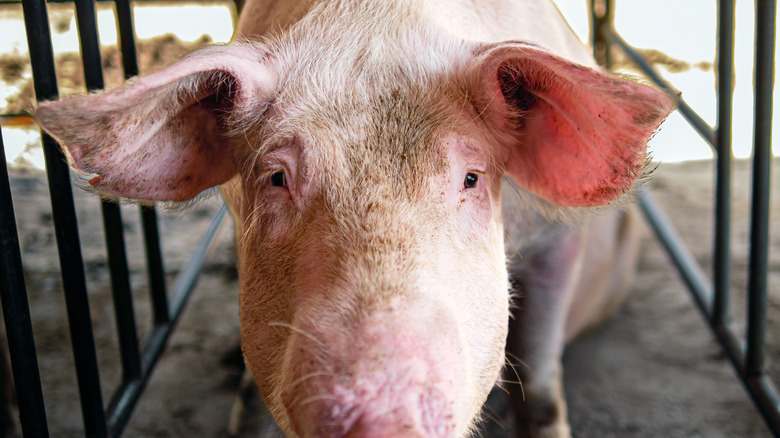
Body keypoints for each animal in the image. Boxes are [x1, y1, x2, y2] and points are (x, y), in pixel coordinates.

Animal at [35, 0, 674, 436]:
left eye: (471, 178)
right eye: (277, 177)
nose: (382, 417)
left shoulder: (558, 236)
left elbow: (539, 384)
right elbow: (253, 402)